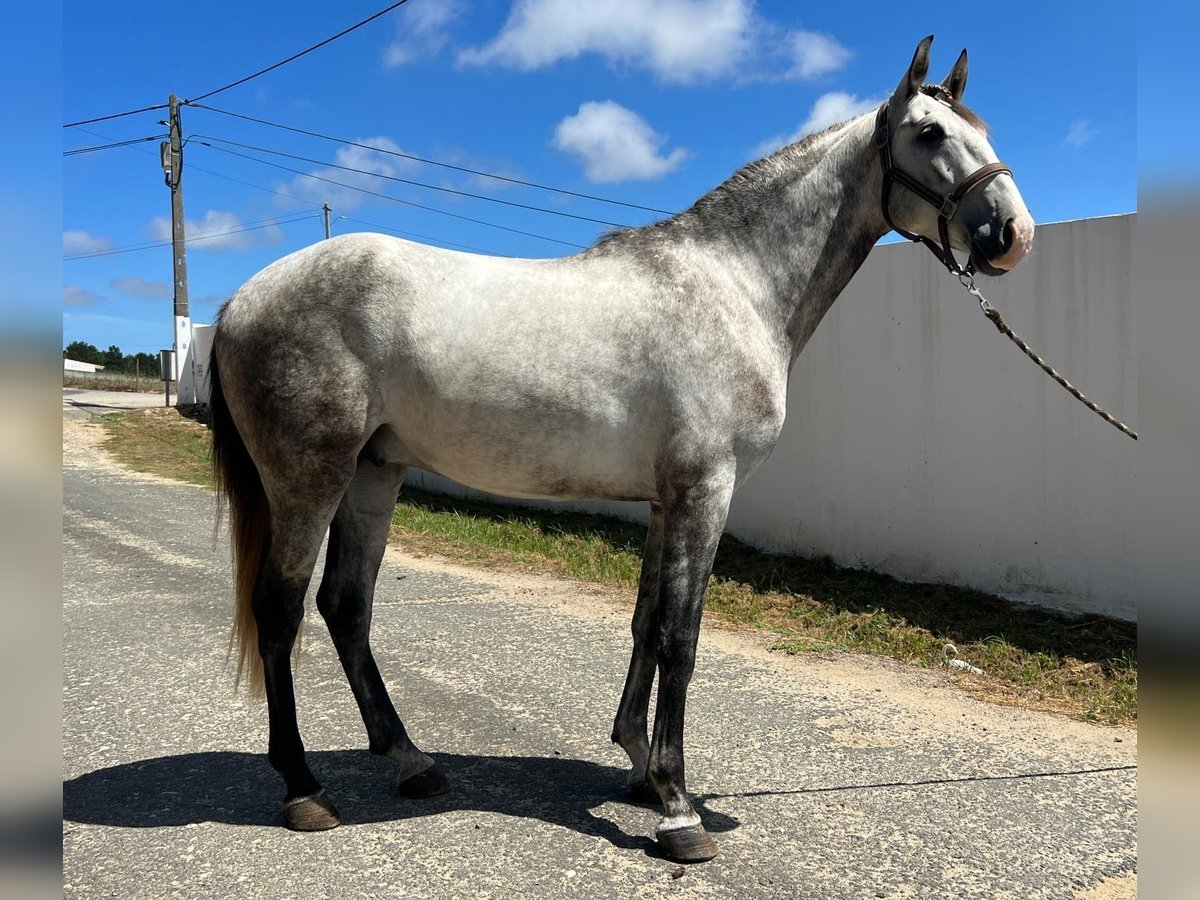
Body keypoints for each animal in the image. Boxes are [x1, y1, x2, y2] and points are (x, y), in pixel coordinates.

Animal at [206, 37, 1032, 868]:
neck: (733, 285)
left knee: (346, 606)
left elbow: (645, 624)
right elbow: (681, 636)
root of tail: (242, 298)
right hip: (310, 480)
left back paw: (410, 761)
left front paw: (639, 764)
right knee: (280, 610)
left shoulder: (668, 498)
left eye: (981, 129)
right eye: (929, 133)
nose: (1013, 235)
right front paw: (677, 806)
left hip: (374, 473)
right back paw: (304, 789)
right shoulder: (706, 492)